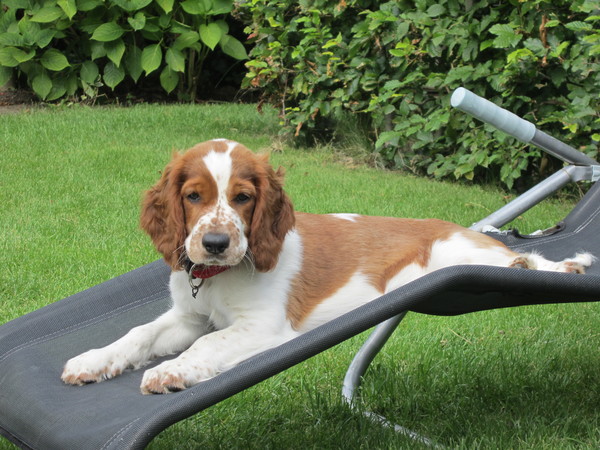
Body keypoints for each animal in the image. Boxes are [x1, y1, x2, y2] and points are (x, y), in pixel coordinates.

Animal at [59, 138, 592, 394]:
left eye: (243, 198)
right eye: (193, 197)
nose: (213, 243)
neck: (218, 277)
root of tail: (465, 229)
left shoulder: (265, 327)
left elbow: (208, 343)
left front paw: (171, 371)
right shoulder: (188, 316)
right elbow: (139, 334)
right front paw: (92, 360)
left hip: (459, 255)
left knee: (522, 259)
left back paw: (568, 268)